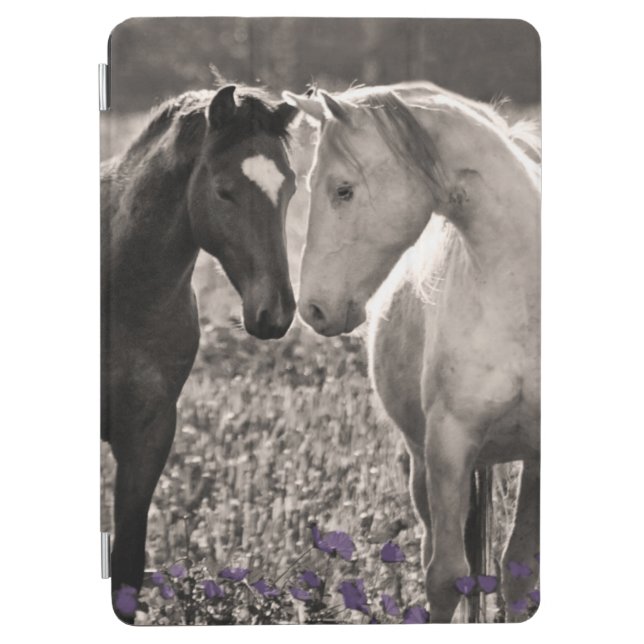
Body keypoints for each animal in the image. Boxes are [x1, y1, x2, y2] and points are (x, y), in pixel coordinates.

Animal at [286, 82, 540, 623]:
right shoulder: (449, 443)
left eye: (343, 189)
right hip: (422, 463)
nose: (313, 308)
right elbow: (446, 578)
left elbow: (518, 572)